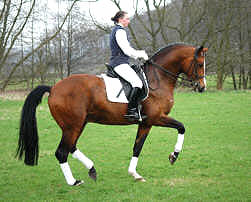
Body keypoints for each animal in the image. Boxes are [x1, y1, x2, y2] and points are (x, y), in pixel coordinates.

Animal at [16, 43, 208, 185]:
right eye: (199, 64)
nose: (202, 87)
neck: (158, 78)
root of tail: (53, 88)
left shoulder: (145, 123)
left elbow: (137, 147)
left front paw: (134, 174)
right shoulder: (156, 118)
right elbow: (182, 127)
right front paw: (174, 156)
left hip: (78, 125)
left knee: (71, 147)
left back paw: (92, 169)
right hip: (72, 126)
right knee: (61, 152)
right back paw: (73, 182)